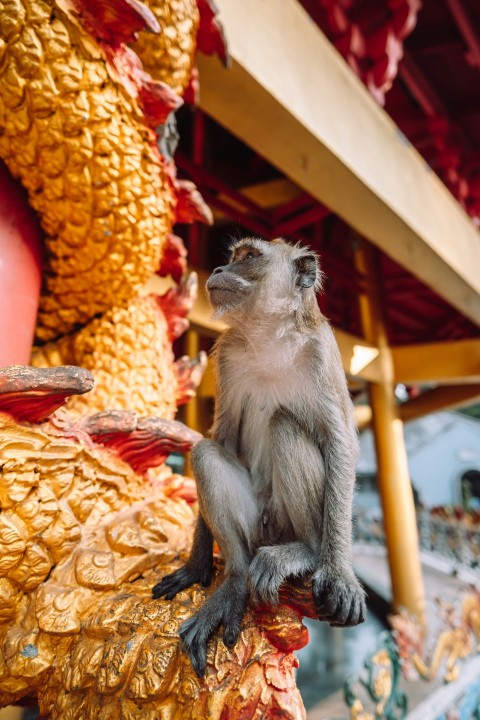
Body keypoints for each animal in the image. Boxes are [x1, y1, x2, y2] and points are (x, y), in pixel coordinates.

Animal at [154, 236, 368, 676]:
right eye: (234, 256)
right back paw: (235, 577)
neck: (271, 335)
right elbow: (221, 437)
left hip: (285, 523)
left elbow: (341, 443)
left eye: (249, 257)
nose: (219, 270)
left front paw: (339, 571)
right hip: (257, 525)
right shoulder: (226, 357)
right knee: (206, 453)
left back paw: (307, 550)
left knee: (285, 425)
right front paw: (197, 562)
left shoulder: (322, 354)